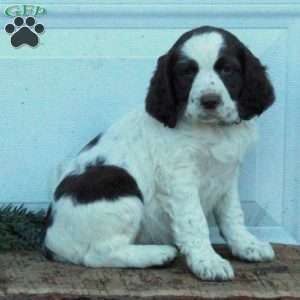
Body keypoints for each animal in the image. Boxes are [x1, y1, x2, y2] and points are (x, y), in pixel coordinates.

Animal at [43, 26, 276, 282]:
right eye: (187, 72)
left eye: (227, 69)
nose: (209, 101)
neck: (213, 130)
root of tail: (51, 240)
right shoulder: (179, 177)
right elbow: (195, 220)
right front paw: (208, 261)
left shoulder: (227, 175)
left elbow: (232, 214)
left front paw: (247, 245)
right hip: (119, 184)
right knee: (98, 254)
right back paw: (158, 254)